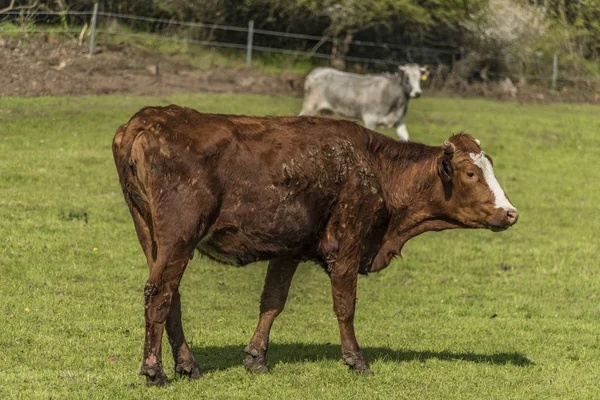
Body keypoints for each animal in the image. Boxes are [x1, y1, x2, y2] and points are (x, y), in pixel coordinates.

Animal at [113, 104, 520, 386]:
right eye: (471, 173)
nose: (510, 213)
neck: (373, 167)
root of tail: (145, 120)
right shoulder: (349, 244)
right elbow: (345, 306)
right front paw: (356, 359)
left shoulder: (288, 249)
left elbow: (272, 302)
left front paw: (256, 358)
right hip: (180, 236)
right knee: (160, 293)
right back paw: (155, 371)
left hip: (151, 235)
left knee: (171, 296)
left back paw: (188, 365)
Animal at [298, 64, 426, 141]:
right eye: (407, 79)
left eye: (420, 78)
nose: (417, 93)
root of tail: (316, 71)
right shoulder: (371, 118)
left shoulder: (400, 122)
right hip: (310, 105)